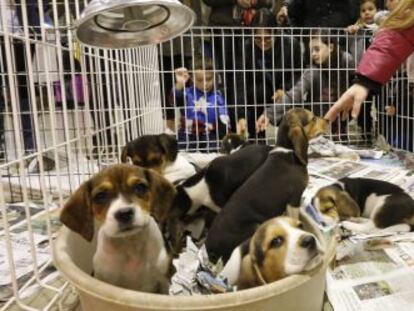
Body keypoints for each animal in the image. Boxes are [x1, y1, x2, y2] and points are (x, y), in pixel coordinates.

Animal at [205, 108, 328, 262]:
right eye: (313, 119)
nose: (328, 120)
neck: (287, 151)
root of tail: (209, 249)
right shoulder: (294, 199)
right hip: (254, 227)